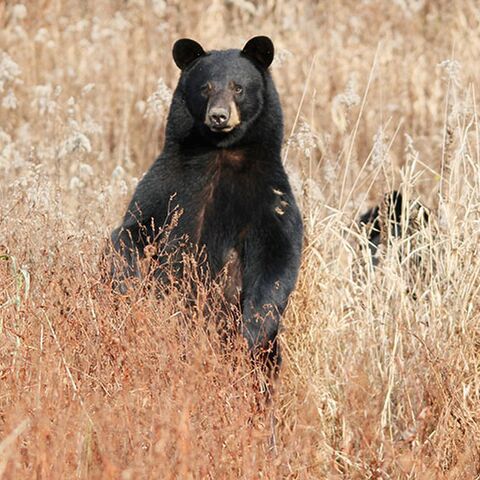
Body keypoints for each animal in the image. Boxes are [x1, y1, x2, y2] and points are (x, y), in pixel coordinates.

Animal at [110, 37, 302, 374]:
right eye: (205, 88)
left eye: (238, 87)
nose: (219, 116)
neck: (220, 153)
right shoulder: (168, 183)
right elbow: (135, 227)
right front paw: (128, 284)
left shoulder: (269, 197)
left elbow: (278, 257)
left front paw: (252, 330)